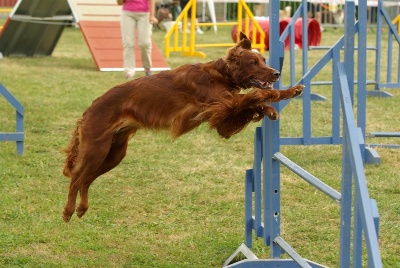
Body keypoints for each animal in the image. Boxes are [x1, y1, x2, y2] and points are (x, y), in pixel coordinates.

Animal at [61, 31, 304, 222]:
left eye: (263, 60)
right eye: (254, 63)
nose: (276, 73)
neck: (221, 74)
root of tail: (88, 111)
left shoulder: (224, 114)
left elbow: (254, 102)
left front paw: (271, 109)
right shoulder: (220, 107)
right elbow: (258, 95)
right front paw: (288, 91)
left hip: (114, 154)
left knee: (86, 180)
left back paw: (82, 208)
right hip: (96, 150)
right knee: (76, 179)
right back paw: (68, 211)